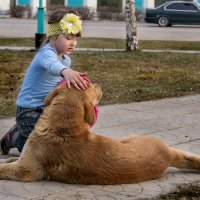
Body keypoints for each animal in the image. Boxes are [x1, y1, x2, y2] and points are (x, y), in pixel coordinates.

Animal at [0, 83, 200, 184]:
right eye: (92, 89)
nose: (100, 85)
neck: (62, 126)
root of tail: (168, 154)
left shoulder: (25, 170)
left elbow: (5, 168)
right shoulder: (23, 159)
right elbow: (10, 159)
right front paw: (5, 158)